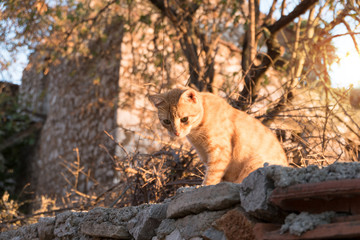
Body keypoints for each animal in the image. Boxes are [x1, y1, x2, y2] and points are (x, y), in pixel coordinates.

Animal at [148, 88, 286, 186]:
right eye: (166, 121)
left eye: (184, 119)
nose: (176, 133)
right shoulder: (204, 155)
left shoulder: (220, 152)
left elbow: (212, 175)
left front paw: (203, 186)